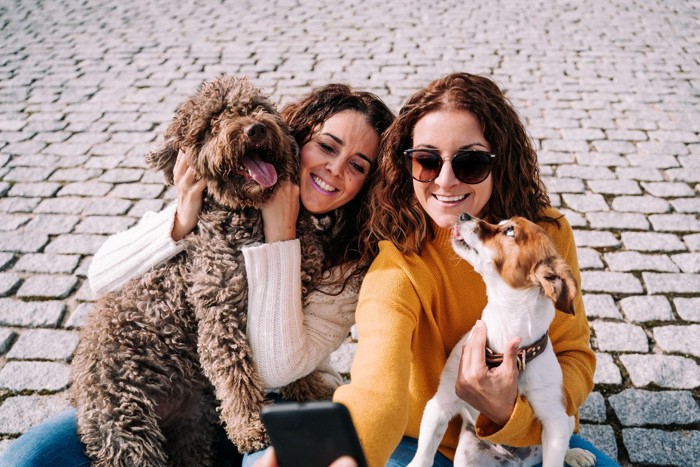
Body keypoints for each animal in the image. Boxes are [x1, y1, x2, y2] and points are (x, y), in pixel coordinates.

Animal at [69, 75, 332, 466]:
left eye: (256, 108)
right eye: (210, 126)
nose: (254, 129)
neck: (248, 215)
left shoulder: (298, 288)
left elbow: (296, 356)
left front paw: (308, 389)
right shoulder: (220, 313)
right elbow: (237, 374)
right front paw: (250, 427)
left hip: (192, 421)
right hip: (127, 430)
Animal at [410, 215, 596, 467]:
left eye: (509, 231)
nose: (464, 215)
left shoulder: (554, 421)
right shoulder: (441, 403)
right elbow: (424, 454)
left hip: (564, 420)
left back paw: (574, 453)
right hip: (468, 455)